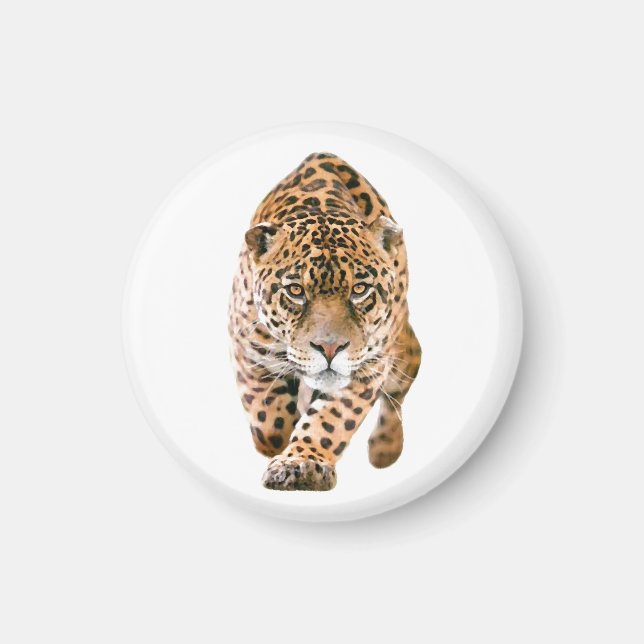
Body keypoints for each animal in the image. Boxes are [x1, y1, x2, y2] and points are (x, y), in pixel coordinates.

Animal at [228, 152, 422, 491]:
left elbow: (331, 420)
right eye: (295, 291)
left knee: (402, 383)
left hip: (402, 350)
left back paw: (385, 448)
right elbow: (269, 424)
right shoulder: (249, 350)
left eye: (360, 290)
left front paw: (302, 464)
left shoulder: (368, 366)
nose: (330, 349)